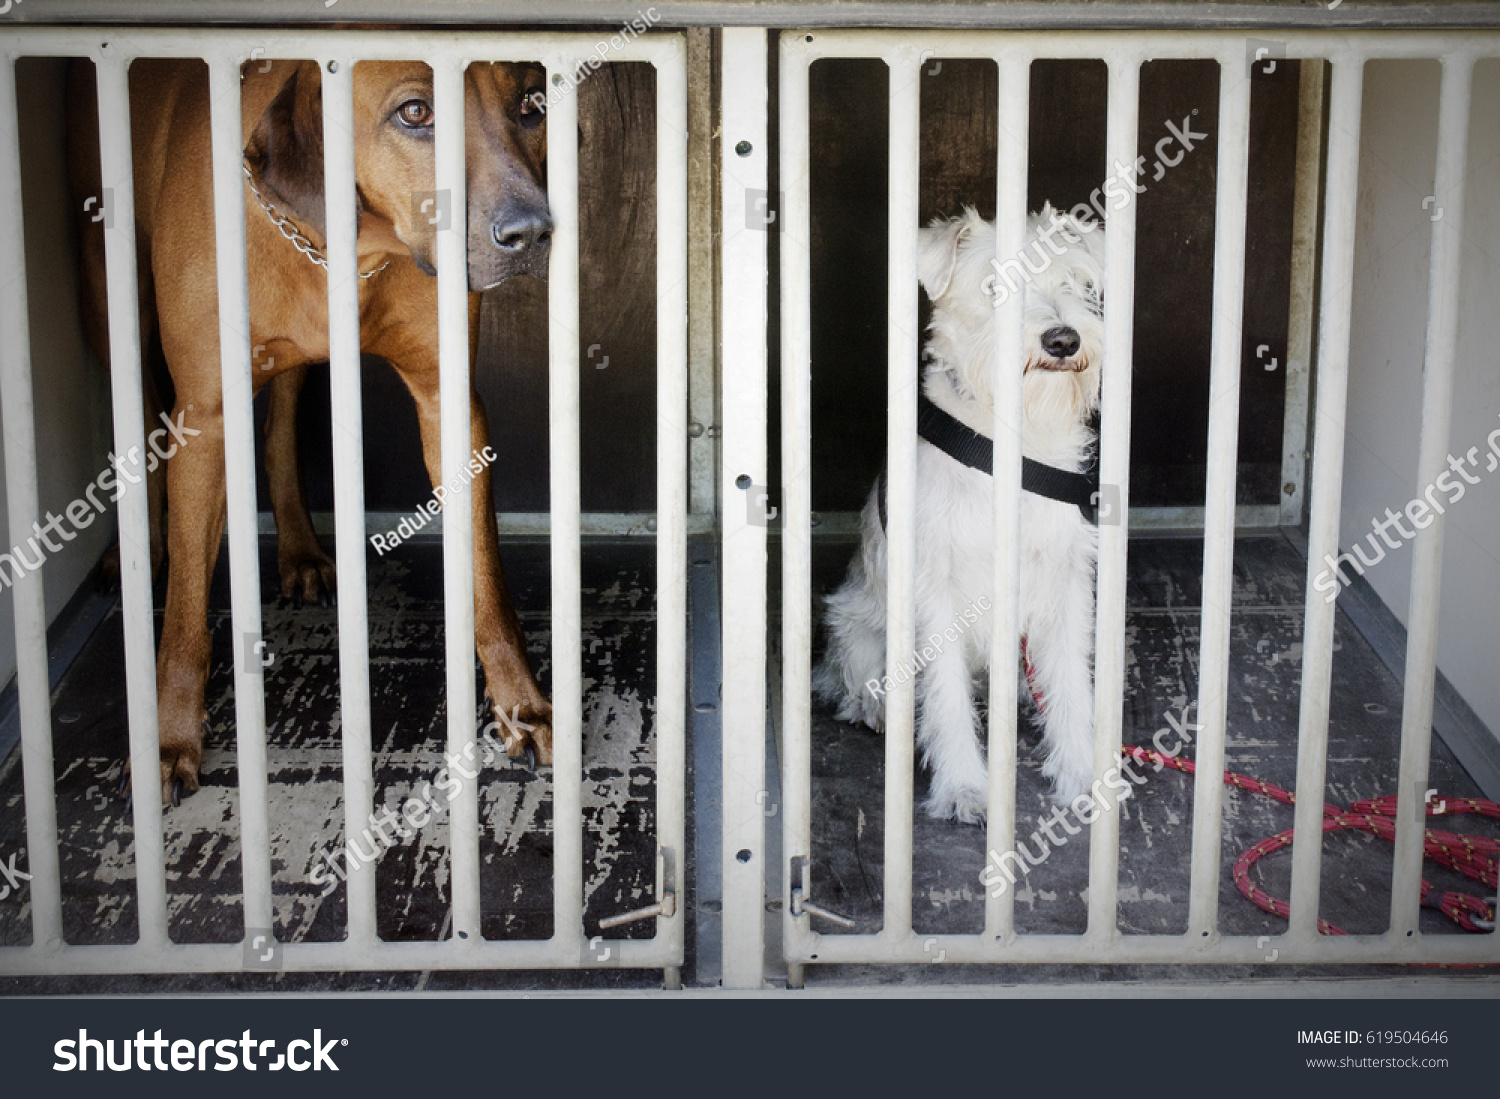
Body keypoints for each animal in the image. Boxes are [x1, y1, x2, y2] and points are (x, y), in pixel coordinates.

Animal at [69, 57, 552, 797]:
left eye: (532, 104)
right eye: (415, 112)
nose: (532, 233)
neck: (346, 246)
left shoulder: (449, 403)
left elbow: (487, 580)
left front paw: (521, 705)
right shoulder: (203, 416)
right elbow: (183, 612)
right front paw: (168, 737)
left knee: (279, 425)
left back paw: (298, 550)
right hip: (104, 291)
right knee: (141, 407)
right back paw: (139, 548)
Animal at [822, 205, 1104, 821]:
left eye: (1073, 282)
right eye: (995, 285)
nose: (1063, 339)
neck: (1011, 444)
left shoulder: (1065, 584)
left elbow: (1073, 685)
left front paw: (1081, 773)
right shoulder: (937, 592)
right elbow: (946, 697)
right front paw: (963, 788)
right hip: (856, 620)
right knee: (854, 678)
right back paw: (878, 710)